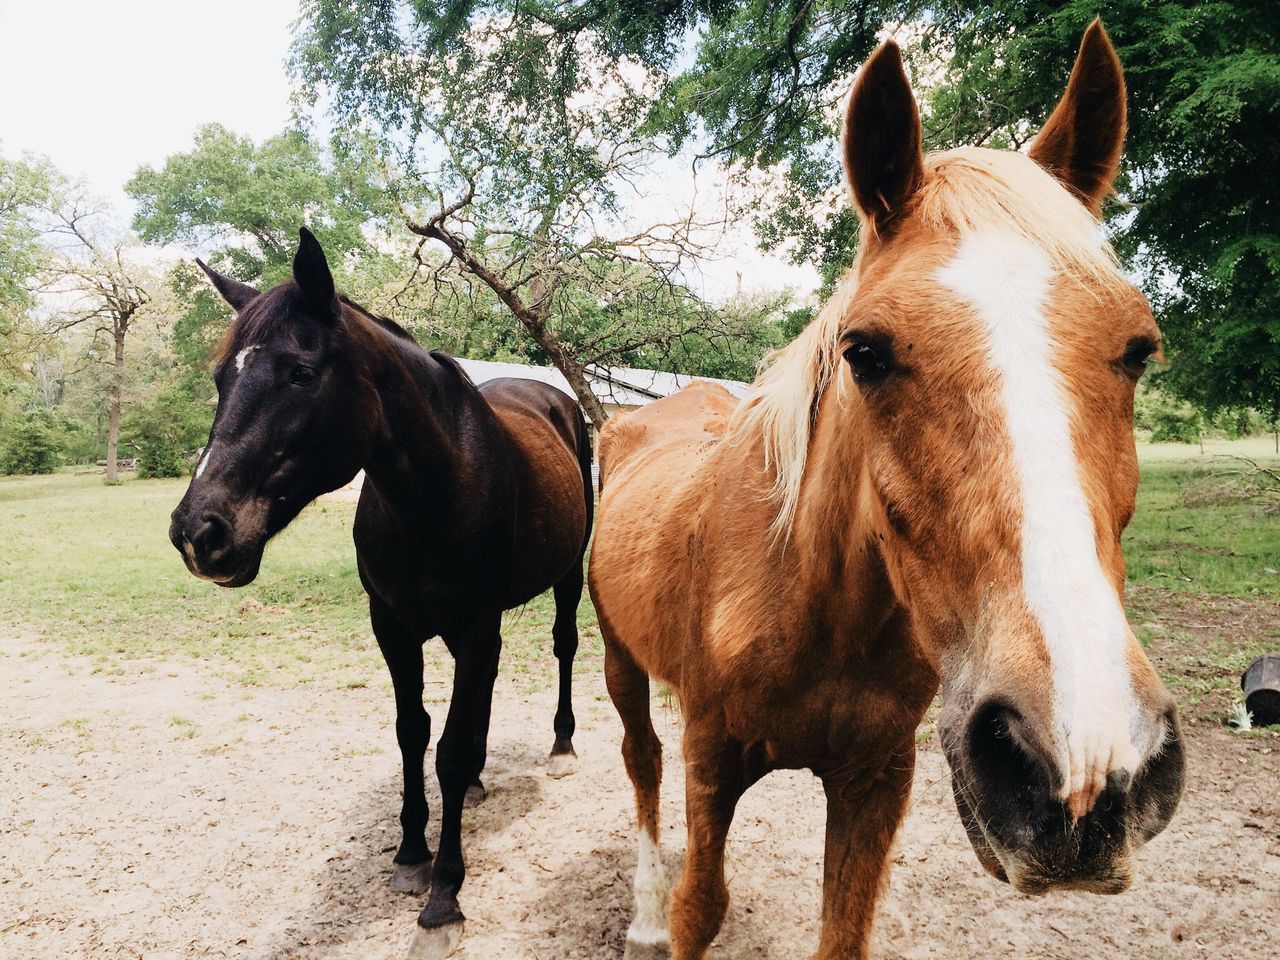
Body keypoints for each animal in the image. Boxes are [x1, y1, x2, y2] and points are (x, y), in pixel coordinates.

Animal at [167, 227, 591, 957]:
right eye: (222, 378)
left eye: (300, 373)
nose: (200, 533)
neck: (437, 487)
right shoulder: (394, 627)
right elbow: (413, 733)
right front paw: (410, 854)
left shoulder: (475, 622)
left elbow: (446, 749)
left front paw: (444, 896)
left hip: (565, 579)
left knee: (563, 648)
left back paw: (560, 748)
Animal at [588, 22, 1187, 960]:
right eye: (864, 351)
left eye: (1139, 348)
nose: (1083, 766)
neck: (807, 597)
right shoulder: (712, 758)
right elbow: (700, 905)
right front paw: (670, 913)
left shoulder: (876, 780)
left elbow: (844, 928)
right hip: (620, 659)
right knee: (640, 762)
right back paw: (643, 912)